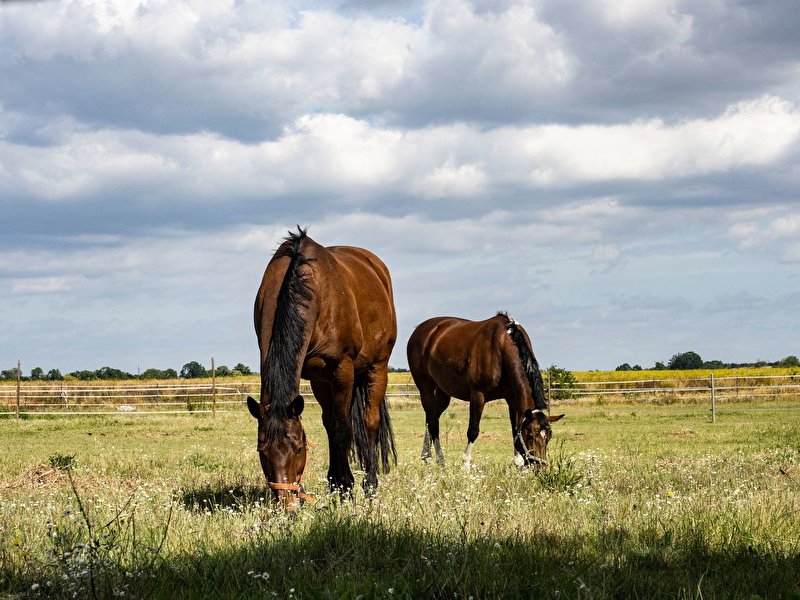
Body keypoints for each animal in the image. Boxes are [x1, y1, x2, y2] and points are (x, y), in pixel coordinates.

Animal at [247, 228, 397, 508]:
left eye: (298, 447)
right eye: (262, 451)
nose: (287, 505)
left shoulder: (342, 369)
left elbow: (341, 430)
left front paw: (346, 488)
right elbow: (331, 426)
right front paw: (336, 484)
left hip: (377, 366)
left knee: (369, 421)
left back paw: (370, 485)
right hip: (322, 381)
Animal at [406, 312, 563, 469]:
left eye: (549, 437)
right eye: (530, 435)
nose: (540, 467)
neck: (502, 346)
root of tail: (421, 330)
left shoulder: (512, 399)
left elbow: (515, 430)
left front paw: (518, 465)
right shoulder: (478, 396)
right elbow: (473, 431)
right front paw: (466, 465)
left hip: (442, 393)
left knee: (431, 419)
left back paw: (426, 457)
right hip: (426, 389)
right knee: (432, 423)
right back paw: (439, 460)